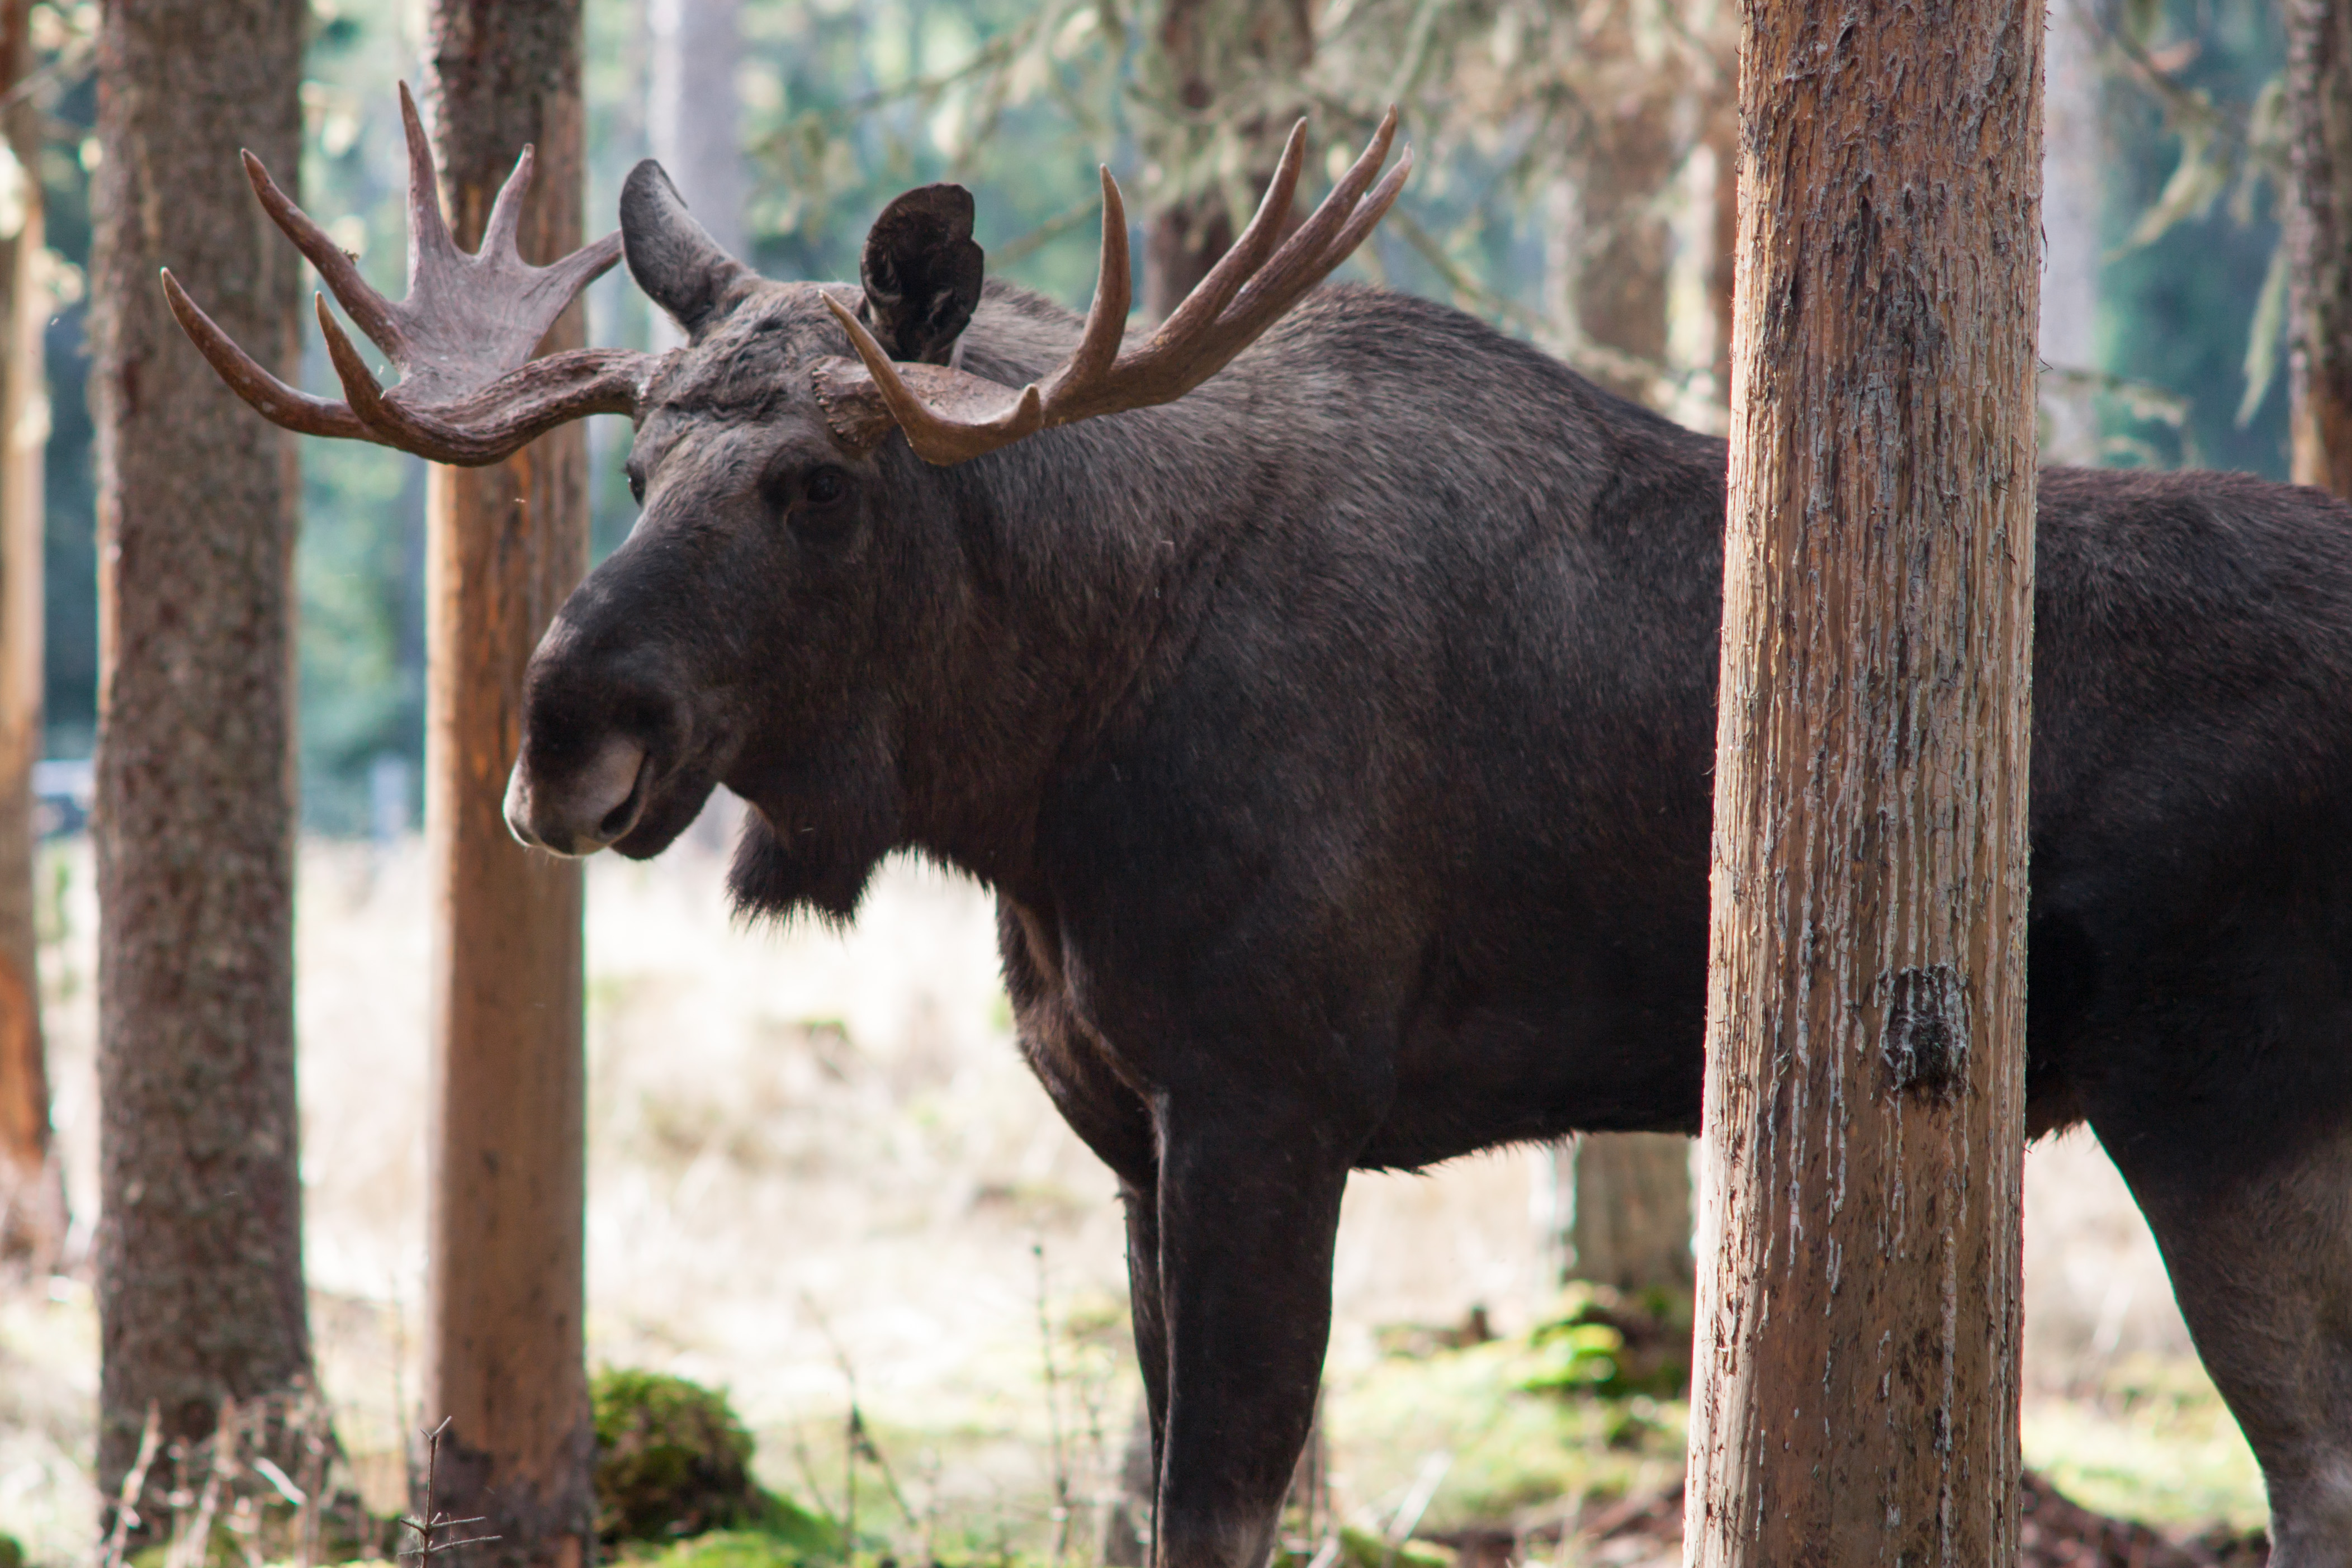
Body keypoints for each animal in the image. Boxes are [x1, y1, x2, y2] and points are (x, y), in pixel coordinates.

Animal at [174, 92, 2352, 1568]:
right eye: (632, 466)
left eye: (815, 482)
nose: (563, 735)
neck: (1034, 772)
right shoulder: (1131, 1122)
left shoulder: (1266, 1090)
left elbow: (1218, 1493)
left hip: (2222, 1098)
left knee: (2303, 1466)